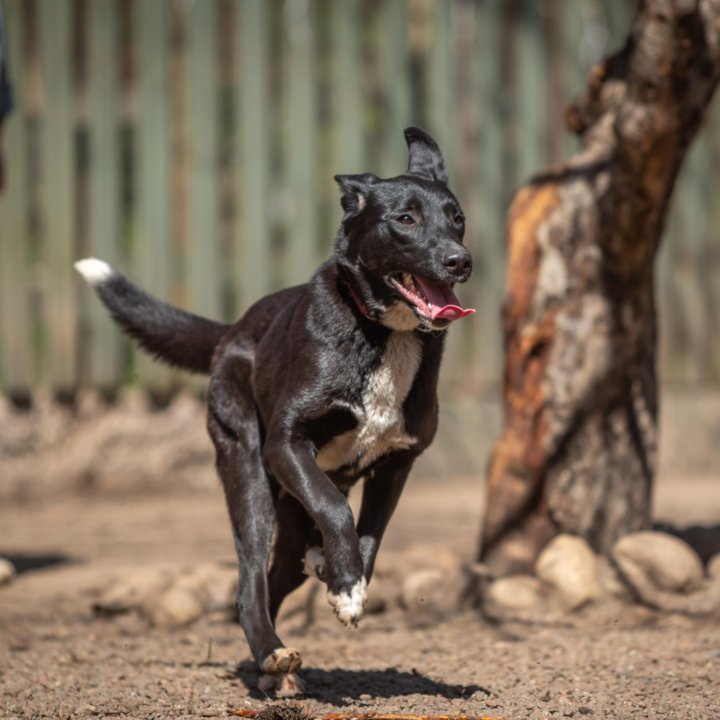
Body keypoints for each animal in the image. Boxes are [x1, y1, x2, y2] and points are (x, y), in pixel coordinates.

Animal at [76, 126, 476, 696]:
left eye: (456, 217)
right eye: (405, 219)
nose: (460, 260)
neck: (383, 333)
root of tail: (232, 331)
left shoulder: (398, 464)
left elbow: (371, 534)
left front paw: (348, 583)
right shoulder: (286, 443)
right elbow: (336, 508)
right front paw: (346, 584)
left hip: (287, 515)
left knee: (274, 578)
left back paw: (277, 654)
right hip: (249, 473)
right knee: (249, 584)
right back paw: (271, 654)